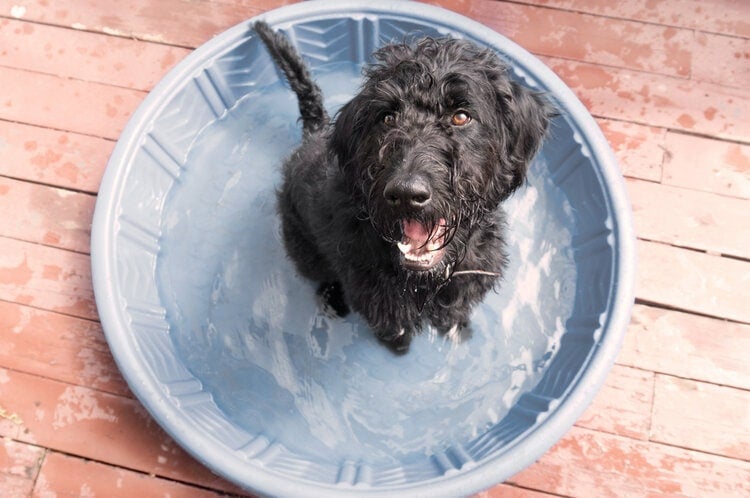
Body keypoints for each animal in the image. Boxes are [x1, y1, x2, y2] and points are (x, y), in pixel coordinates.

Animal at [256, 20, 556, 354]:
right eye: (387, 117)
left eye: (461, 116)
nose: (406, 194)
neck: (424, 280)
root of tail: (314, 132)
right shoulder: (382, 306)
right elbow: (395, 332)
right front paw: (400, 349)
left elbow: (455, 313)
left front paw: (458, 331)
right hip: (303, 247)